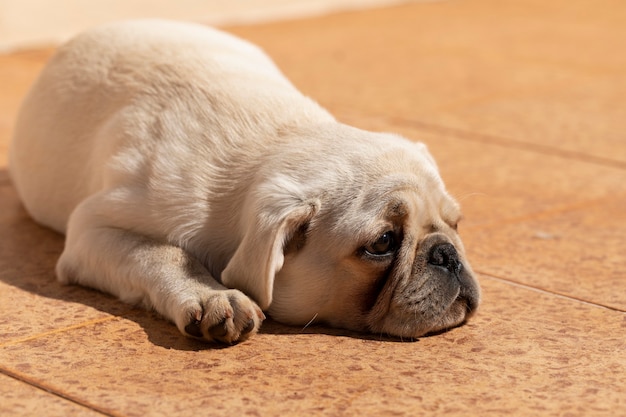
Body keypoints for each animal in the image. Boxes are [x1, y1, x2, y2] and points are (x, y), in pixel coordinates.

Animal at [8, 19, 478, 342]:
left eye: (456, 223)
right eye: (381, 244)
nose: (447, 254)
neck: (278, 138)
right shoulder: (93, 229)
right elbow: (160, 253)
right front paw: (212, 296)